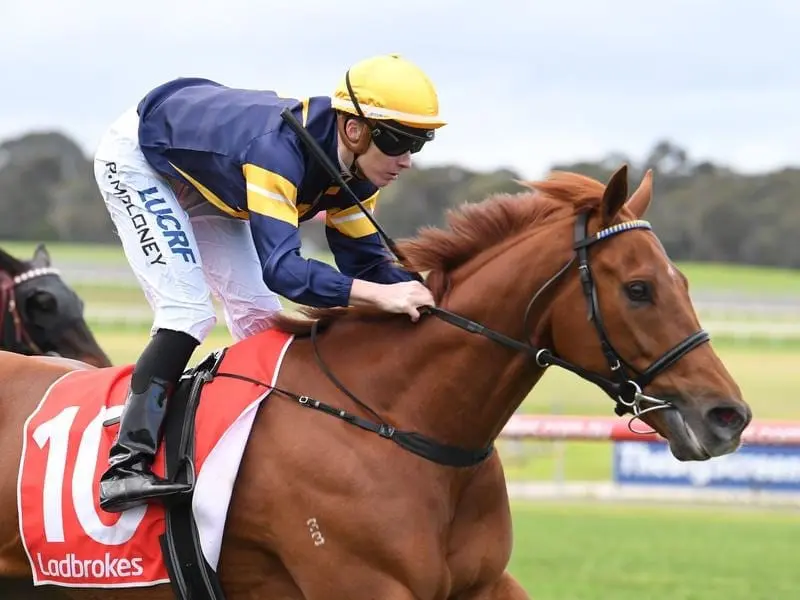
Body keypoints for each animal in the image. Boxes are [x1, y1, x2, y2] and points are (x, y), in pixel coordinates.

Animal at [0, 165, 752, 600]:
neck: (400, 424)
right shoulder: (361, 584)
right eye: (638, 289)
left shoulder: (483, 584)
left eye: (684, 282)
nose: (729, 416)